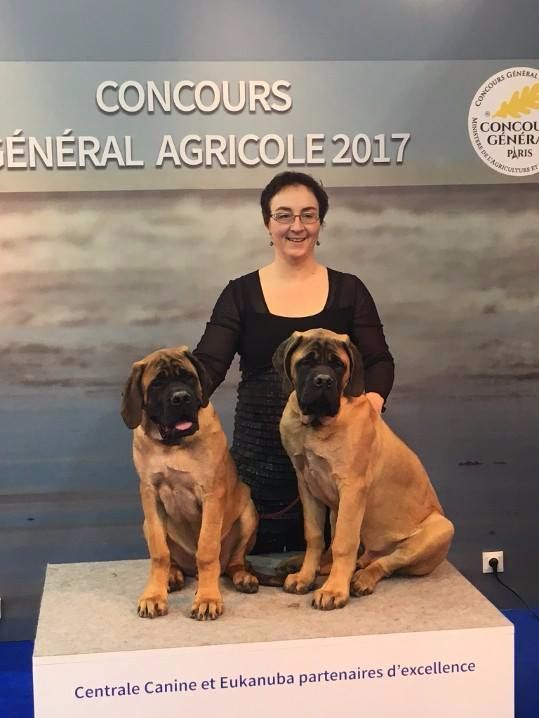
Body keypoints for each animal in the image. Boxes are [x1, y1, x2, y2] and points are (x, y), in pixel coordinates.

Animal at [121, 348, 260, 620]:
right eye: (157, 384)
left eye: (188, 377)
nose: (181, 397)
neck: (173, 444)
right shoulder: (150, 495)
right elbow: (159, 552)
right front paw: (153, 596)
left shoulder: (211, 494)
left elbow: (207, 550)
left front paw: (207, 599)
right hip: (146, 524)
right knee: (173, 559)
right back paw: (173, 575)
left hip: (249, 511)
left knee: (234, 560)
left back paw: (243, 577)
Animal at [274, 330, 456, 612]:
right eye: (306, 362)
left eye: (338, 365)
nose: (323, 380)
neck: (317, 425)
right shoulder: (307, 486)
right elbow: (314, 536)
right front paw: (305, 576)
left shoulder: (352, 488)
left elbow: (344, 543)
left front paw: (334, 590)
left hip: (441, 530)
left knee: (385, 563)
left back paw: (361, 579)